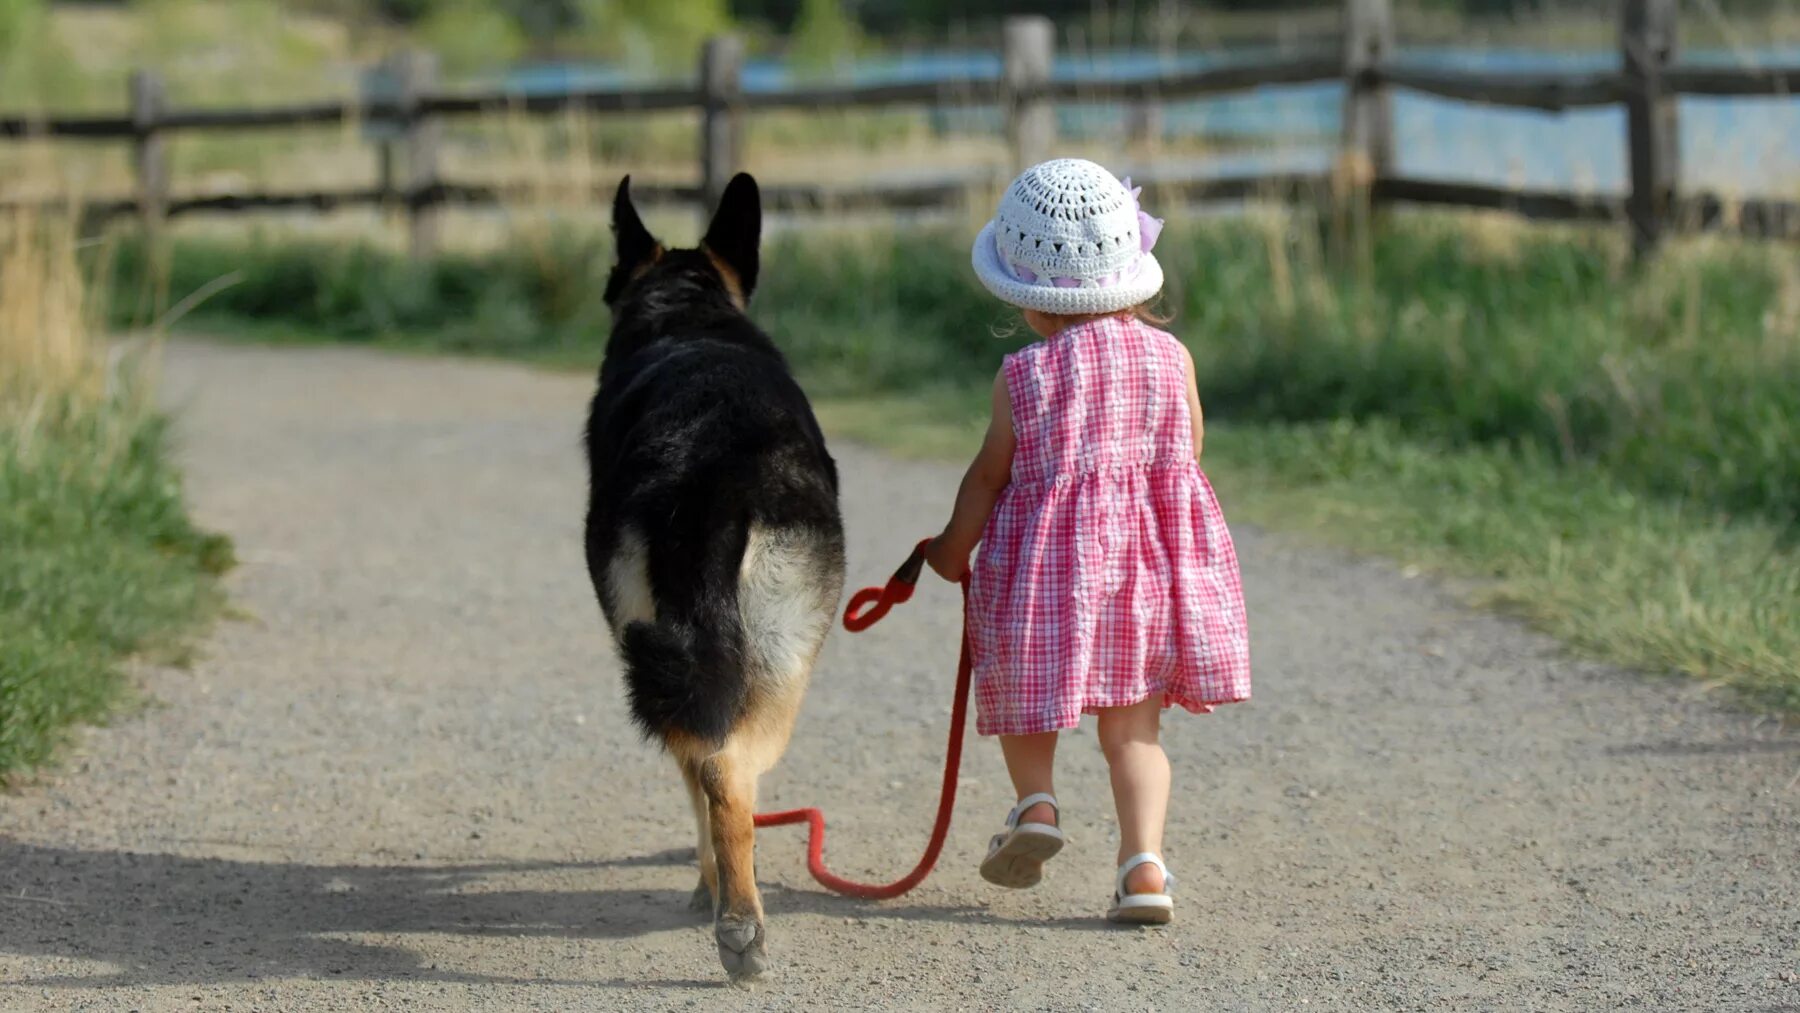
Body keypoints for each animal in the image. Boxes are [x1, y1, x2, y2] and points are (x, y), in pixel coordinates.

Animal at [586, 172, 846, 986]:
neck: (687, 312)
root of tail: (709, 468)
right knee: (725, 776)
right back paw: (737, 921)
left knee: (712, 770)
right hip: (775, 667)